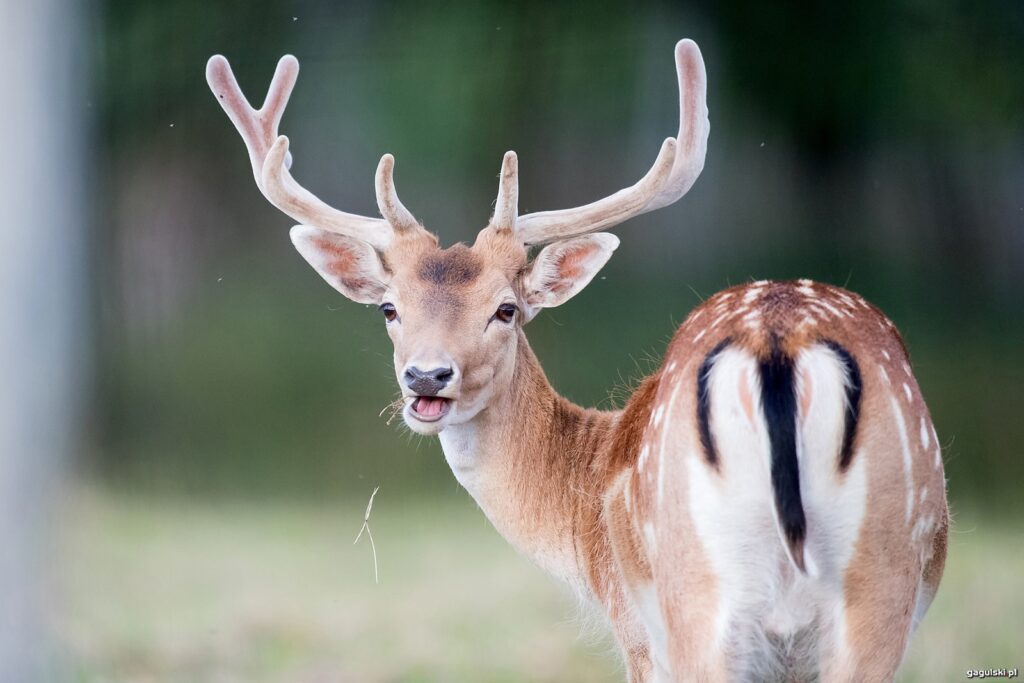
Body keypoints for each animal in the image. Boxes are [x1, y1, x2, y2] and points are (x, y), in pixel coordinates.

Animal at [207, 38, 950, 683]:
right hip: (877, 578)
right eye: (389, 308)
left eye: (506, 309)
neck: (584, 504)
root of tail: (779, 346)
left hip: (702, 590)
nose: (427, 376)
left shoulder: (636, 629)